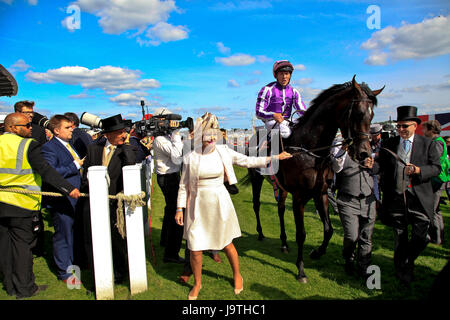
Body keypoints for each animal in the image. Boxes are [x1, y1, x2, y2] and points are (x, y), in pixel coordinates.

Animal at [246, 76, 384, 282]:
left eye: (372, 115)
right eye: (358, 114)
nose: (364, 154)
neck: (310, 150)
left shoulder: (321, 193)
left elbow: (329, 229)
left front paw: (317, 252)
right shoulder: (299, 197)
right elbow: (301, 234)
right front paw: (301, 270)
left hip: (282, 188)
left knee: (280, 209)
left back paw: (284, 243)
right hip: (257, 179)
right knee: (256, 204)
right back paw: (261, 233)